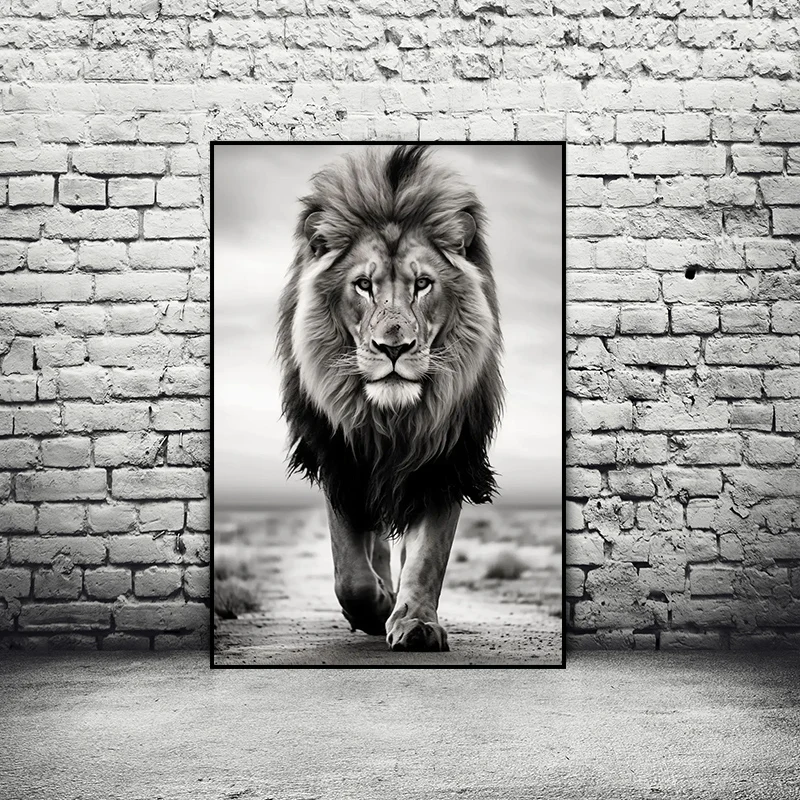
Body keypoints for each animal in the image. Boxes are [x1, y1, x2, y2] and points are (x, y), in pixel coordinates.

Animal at [276, 145, 504, 652]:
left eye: (422, 285)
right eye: (364, 285)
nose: (393, 348)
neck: (393, 421)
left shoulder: (445, 459)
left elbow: (427, 556)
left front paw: (415, 622)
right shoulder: (340, 456)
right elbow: (350, 571)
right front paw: (375, 606)